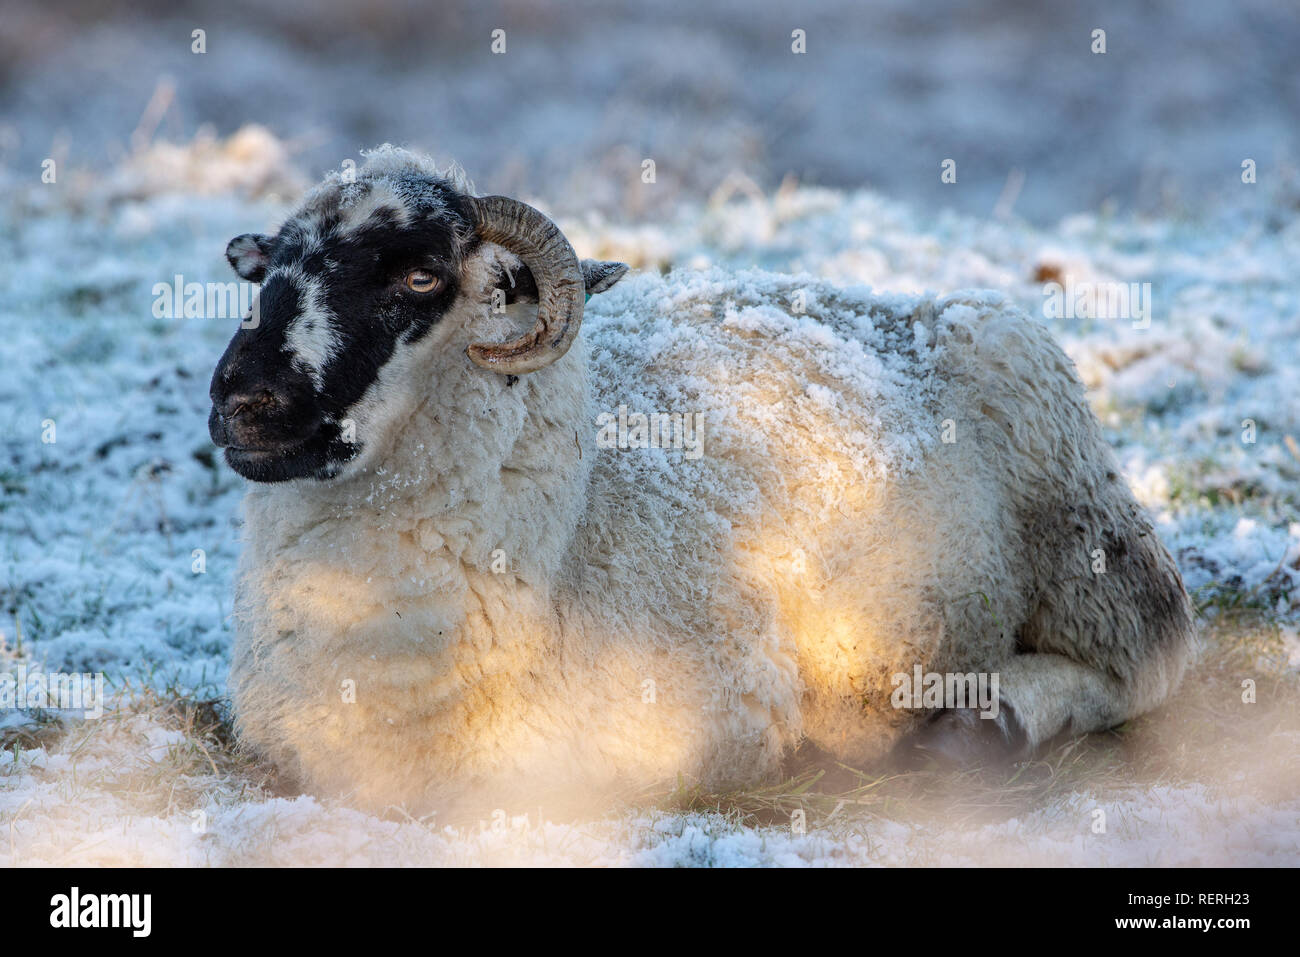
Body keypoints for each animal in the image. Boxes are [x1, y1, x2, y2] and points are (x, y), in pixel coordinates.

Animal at [208, 145, 1190, 816]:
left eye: (420, 277)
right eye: (270, 274)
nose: (241, 404)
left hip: (1081, 529)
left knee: (1147, 655)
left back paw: (989, 720)